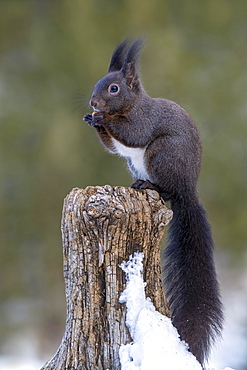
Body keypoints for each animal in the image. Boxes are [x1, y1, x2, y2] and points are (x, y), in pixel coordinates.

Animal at [83, 39, 224, 366]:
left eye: (113, 89)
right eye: (97, 84)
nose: (94, 104)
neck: (131, 106)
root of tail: (188, 189)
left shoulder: (143, 122)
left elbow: (133, 134)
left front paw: (103, 119)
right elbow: (113, 146)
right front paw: (93, 121)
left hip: (161, 154)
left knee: (167, 191)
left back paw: (151, 186)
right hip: (137, 165)